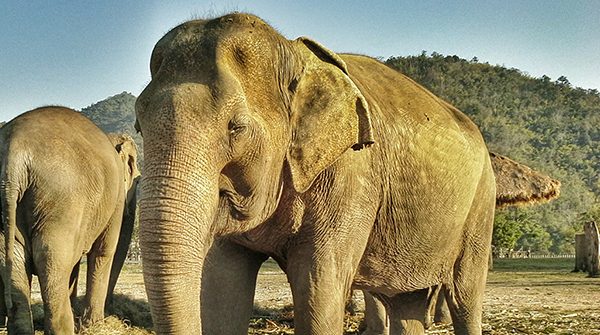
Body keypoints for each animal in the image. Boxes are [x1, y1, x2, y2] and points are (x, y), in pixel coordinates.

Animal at [0, 108, 139, 335]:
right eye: (136, 176)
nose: (115, 314)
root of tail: (15, 151)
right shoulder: (116, 196)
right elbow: (103, 251)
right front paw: (94, 326)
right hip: (63, 201)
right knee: (52, 257)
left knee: (12, 259)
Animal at [136, 13, 496, 335]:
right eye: (139, 125)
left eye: (235, 128)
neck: (292, 52)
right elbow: (223, 284)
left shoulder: (351, 176)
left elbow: (318, 284)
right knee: (407, 302)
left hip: (481, 207)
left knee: (465, 293)